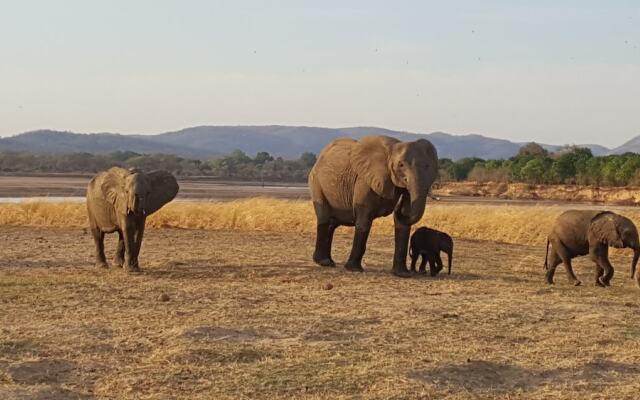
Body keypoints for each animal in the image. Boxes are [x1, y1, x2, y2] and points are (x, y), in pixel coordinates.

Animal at [310, 134, 440, 276]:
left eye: (428, 166)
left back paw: (328, 262)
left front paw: (402, 274)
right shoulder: (365, 181)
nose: (398, 200)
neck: (391, 150)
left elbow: (405, 220)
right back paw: (323, 262)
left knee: (332, 224)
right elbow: (364, 219)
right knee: (324, 219)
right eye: (401, 165)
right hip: (316, 183)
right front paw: (354, 269)